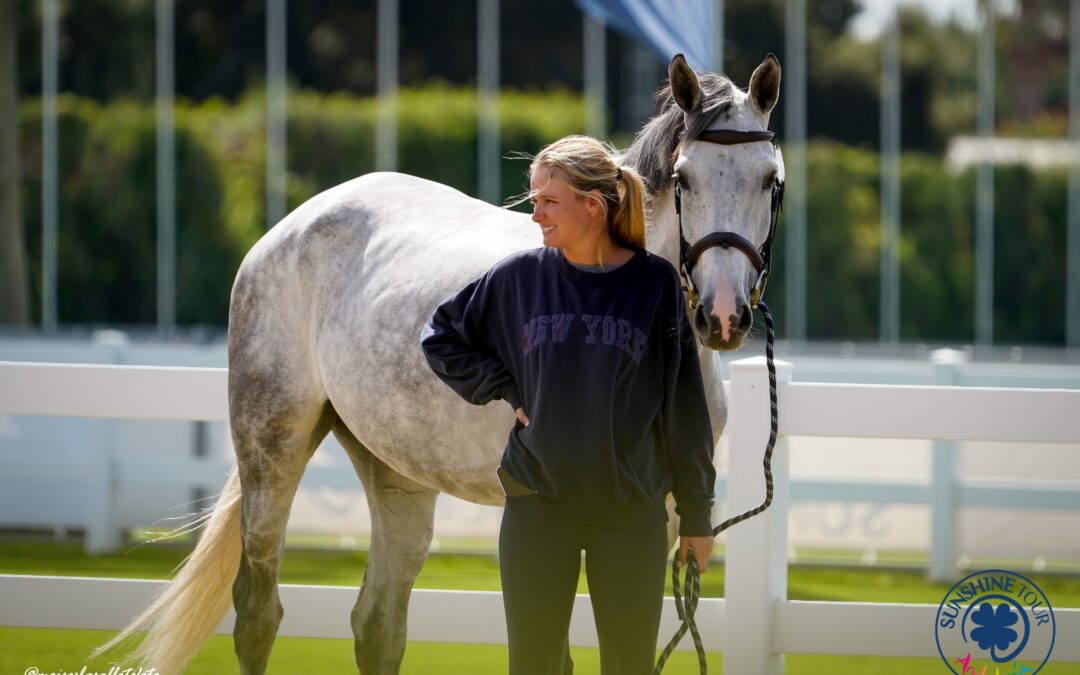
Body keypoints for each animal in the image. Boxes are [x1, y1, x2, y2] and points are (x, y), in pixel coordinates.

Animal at [97, 52, 781, 673]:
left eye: (770, 180)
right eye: (685, 178)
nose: (722, 315)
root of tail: (287, 230)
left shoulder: (659, 521)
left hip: (396, 473)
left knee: (377, 625)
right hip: (271, 447)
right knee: (257, 614)